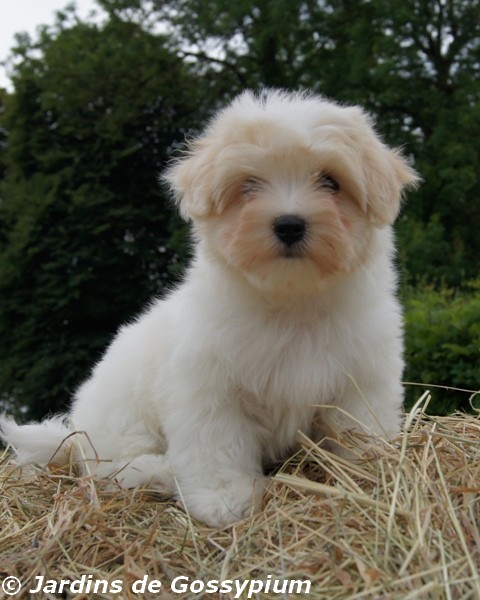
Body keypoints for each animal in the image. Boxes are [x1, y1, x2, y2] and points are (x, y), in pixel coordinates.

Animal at [0, 89, 419, 527]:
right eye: (249, 185)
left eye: (331, 182)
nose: (289, 224)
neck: (290, 301)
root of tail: (74, 431)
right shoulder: (209, 389)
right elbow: (216, 446)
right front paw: (224, 500)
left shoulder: (362, 378)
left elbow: (360, 428)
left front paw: (372, 474)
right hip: (120, 422)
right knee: (111, 466)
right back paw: (157, 472)